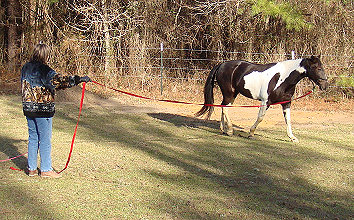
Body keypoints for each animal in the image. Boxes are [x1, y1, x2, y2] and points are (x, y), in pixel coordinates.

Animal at [195, 55, 328, 142]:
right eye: (318, 68)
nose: (325, 85)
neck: (283, 78)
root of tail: (222, 64)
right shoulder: (265, 102)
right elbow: (260, 118)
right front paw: (251, 133)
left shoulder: (286, 103)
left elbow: (288, 120)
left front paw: (292, 137)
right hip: (229, 93)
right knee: (225, 108)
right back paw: (230, 131)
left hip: (232, 94)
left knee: (223, 107)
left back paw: (224, 130)